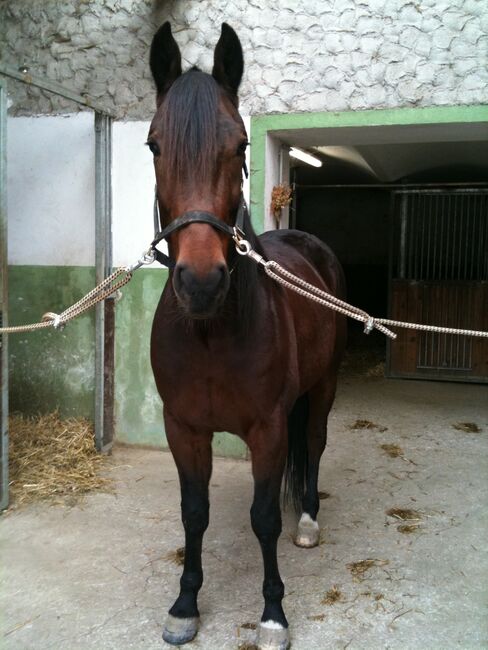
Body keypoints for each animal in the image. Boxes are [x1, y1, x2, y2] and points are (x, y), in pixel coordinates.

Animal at [149, 22, 346, 644]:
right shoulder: (184, 428)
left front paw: (273, 614)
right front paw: (185, 605)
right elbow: (194, 513)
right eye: (153, 145)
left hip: (324, 387)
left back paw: (306, 520)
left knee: (316, 445)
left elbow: (262, 520)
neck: (212, 332)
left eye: (238, 146)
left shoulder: (268, 428)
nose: (201, 282)